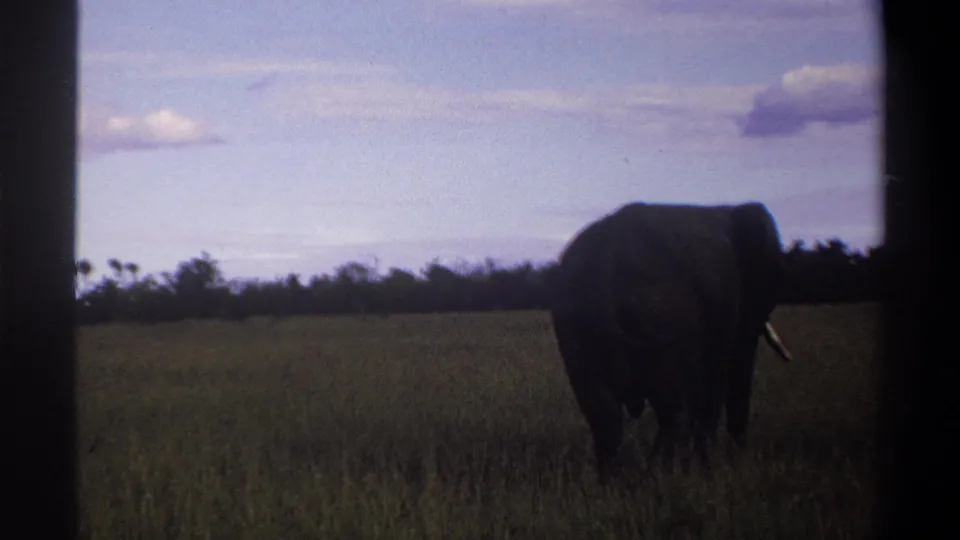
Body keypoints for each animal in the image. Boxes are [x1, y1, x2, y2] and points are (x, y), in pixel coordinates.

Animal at [549, 201, 794, 480]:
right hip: (660, 313)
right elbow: (724, 372)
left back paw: (616, 482)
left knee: (602, 411)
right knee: (672, 408)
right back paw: (664, 476)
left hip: (578, 323)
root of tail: (605, 262)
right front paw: (714, 468)